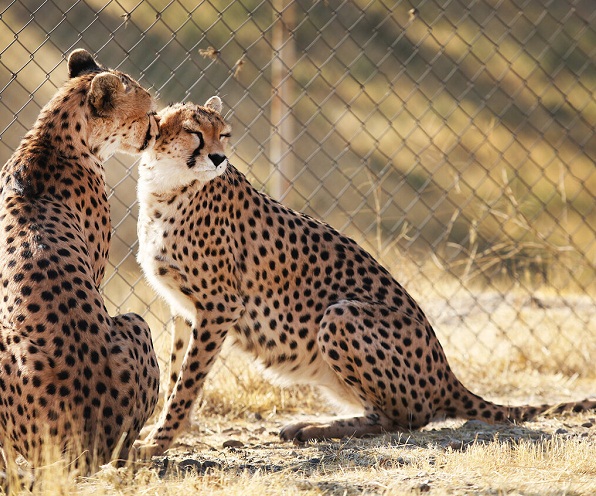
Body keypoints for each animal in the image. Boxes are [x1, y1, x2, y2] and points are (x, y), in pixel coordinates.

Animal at [136, 95, 596, 456]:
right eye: (194, 133)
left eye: (225, 135)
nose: (218, 157)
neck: (166, 188)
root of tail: (447, 374)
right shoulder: (188, 309)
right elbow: (176, 374)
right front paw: (156, 432)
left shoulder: (220, 307)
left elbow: (186, 383)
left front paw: (159, 442)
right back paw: (312, 426)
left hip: (341, 314)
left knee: (404, 419)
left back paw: (316, 429)